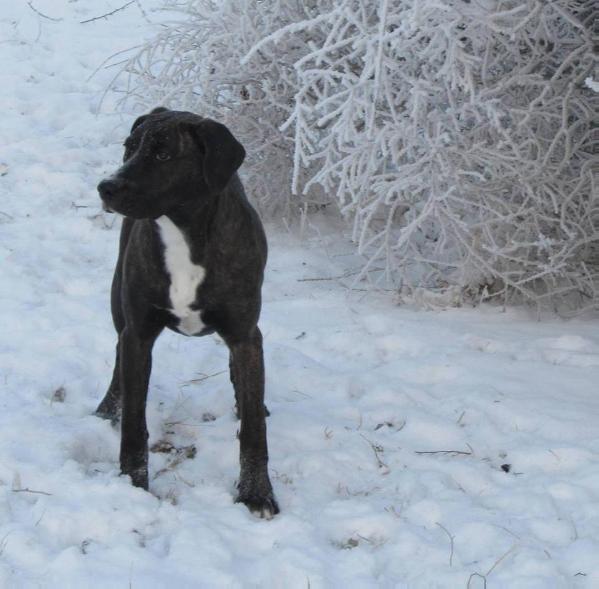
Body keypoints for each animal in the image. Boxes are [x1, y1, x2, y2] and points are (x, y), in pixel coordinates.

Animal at [95, 108, 278, 516]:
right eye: (129, 146)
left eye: (163, 155)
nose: (106, 187)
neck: (181, 233)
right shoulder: (139, 333)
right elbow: (134, 421)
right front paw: (132, 484)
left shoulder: (245, 334)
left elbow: (254, 430)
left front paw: (256, 494)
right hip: (118, 301)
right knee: (117, 354)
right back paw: (107, 408)